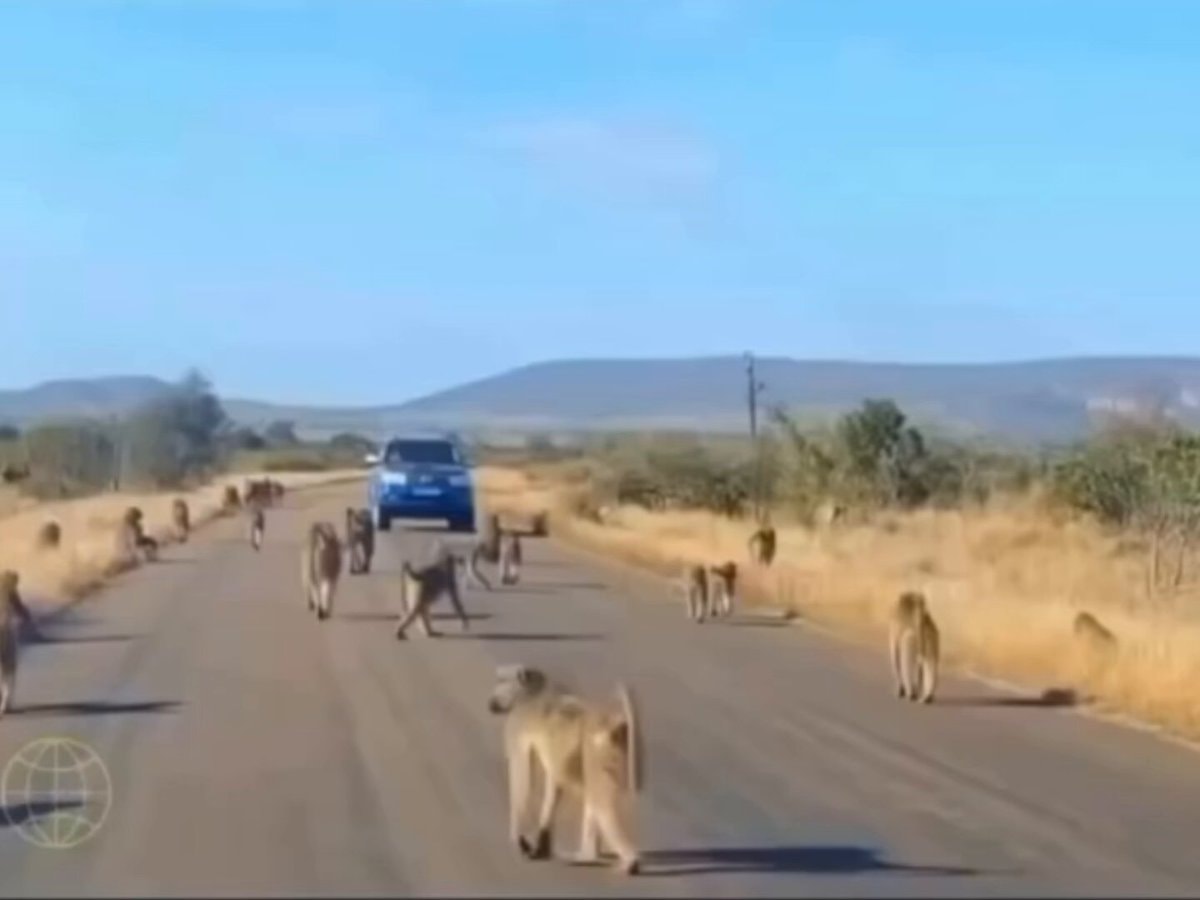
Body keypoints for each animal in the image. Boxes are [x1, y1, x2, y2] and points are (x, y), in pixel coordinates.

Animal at [487, 664, 645, 875]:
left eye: (502, 681)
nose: (491, 703)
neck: (533, 689)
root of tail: (611, 722)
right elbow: (553, 784)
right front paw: (540, 845)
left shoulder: (518, 723)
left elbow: (522, 777)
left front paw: (520, 841)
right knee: (592, 797)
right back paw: (587, 856)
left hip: (599, 752)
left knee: (601, 803)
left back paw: (629, 862)